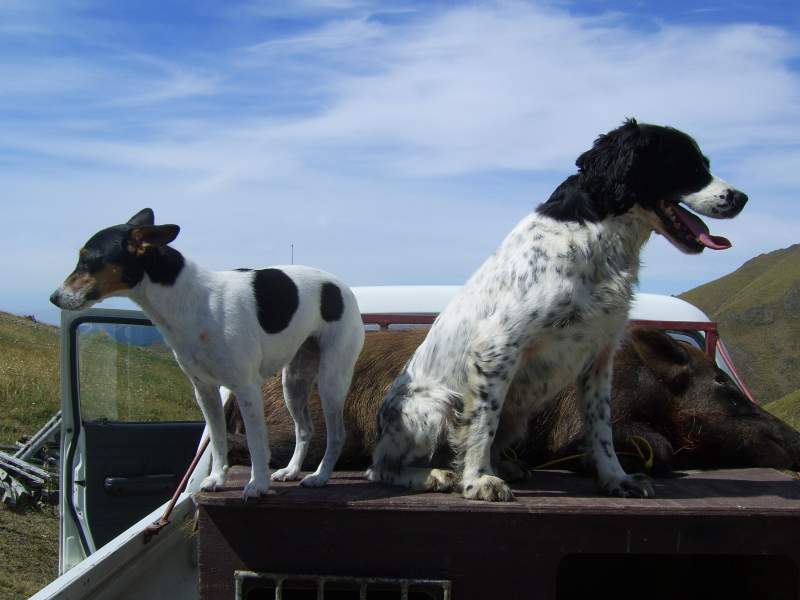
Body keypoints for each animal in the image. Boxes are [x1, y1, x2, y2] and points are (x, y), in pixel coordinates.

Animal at [368, 118, 752, 502]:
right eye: (688, 165)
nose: (742, 198)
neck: (595, 233)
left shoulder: (599, 357)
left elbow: (602, 431)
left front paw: (616, 478)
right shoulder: (497, 346)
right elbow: (481, 424)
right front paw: (478, 480)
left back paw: (503, 466)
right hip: (438, 404)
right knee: (383, 468)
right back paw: (435, 475)